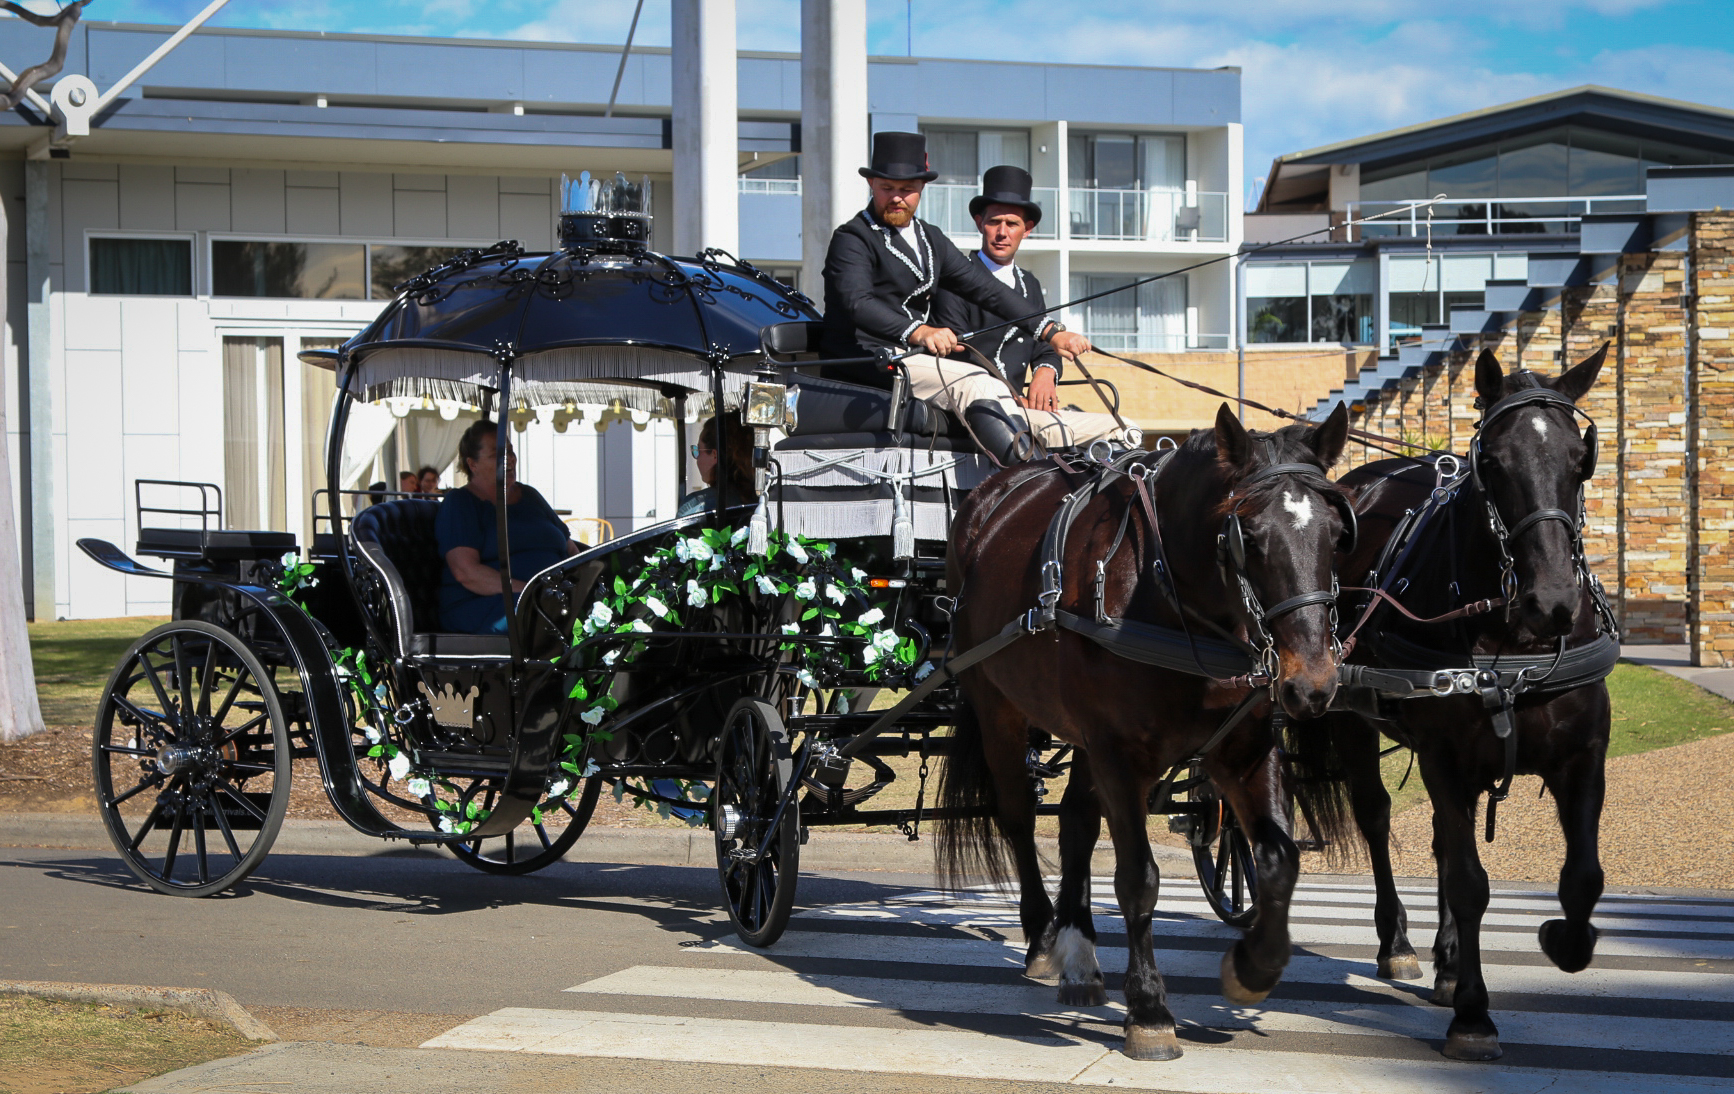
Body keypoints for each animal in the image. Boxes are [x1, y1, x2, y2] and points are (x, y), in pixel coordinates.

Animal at [936, 402, 1352, 1061]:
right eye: (1250, 538)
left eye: (1337, 536)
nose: (1312, 684)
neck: (1168, 593)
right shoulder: (1116, 752)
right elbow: (1138, 878)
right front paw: (1150, 1010)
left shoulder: (1244, 747)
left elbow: (1279, 859)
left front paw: (1255, 966)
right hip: (999, 709)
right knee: (1019, 818)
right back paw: (1041, 937)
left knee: (1076, 821)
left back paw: (1078, 950)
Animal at [1303, 348, 1616, 1061]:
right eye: (1492, 463)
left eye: (1581, 459)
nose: (1553, 603)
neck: (1518, 643)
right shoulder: (1446, 757)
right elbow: (1472, 883)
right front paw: (1474, 1015)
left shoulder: (1583, 756)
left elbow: (1583, 876)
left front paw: (1562, 940)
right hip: (1349, 717)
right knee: (1377, 816)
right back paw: (1398, 941)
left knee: (1447, 839)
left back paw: (1447, 960)